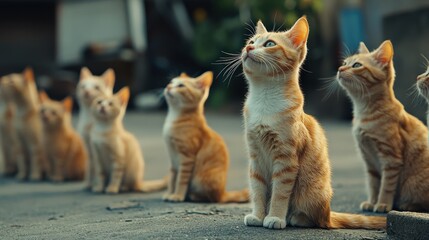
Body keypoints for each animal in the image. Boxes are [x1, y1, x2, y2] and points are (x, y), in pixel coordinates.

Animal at [161, 71, 249, 202]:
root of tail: (223, 192)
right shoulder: (172, 158)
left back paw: (193, 196)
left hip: (201, 179)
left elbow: (181, 180)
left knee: (212, 198)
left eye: (181, 85)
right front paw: (169, 193)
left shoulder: (187, 158)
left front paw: (178, 195)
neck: (174, 117)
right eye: (171, 82)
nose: (168, 87)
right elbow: (172, 178)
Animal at [241, 15, 384, 230]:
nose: (249, 48)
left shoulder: (286, 160)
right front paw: (258, 215)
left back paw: (295, 218)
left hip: (311, 194)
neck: (264, 100)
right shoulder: (255, 156)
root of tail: (329, 212)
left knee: (317, 220)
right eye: (250, 41)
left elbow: (279, 193)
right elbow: (258, 190)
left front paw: (274, 217)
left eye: (269, 44)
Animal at [336, 40, 428, 213]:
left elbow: (386, 186)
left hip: (412, 183)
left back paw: (407, 205)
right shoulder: (369, 160)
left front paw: (383, 204)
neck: (364, 113)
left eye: (356, 65)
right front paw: (372, 202)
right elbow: (373, 184)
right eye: (344, 63)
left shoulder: (391, 159)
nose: (340, 69)